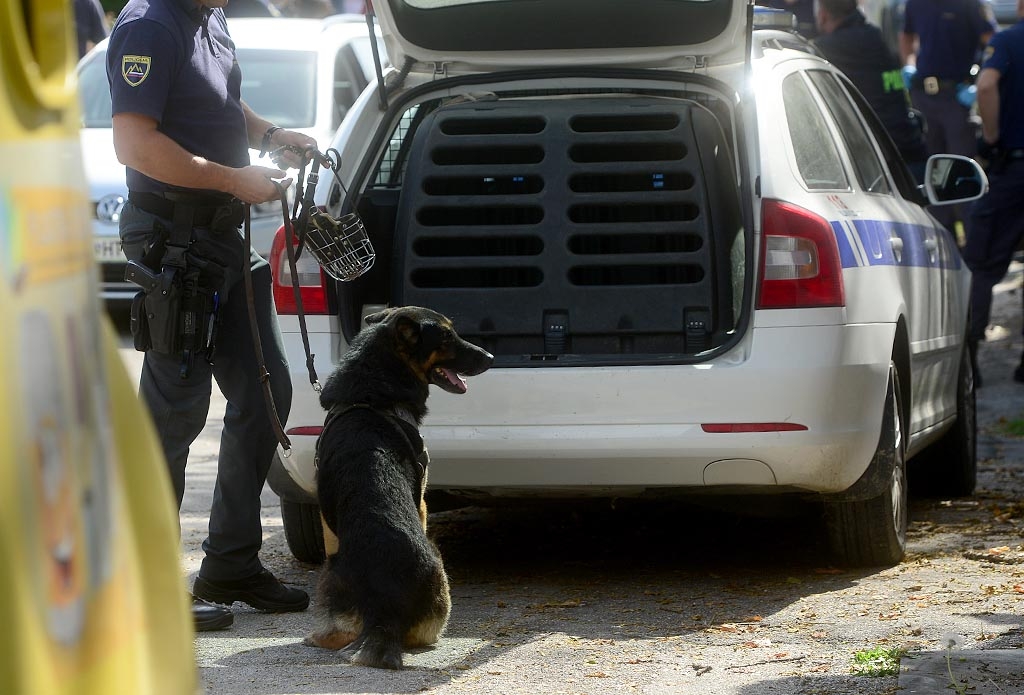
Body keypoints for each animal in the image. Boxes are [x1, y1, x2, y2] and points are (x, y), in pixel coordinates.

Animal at [304, 306, 493, 669]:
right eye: (447, 336)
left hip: (332, 575)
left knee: (336, 635)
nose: (490, 357)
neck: (371, 392)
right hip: (439, 577)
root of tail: (384, 606)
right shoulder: (421, 500)